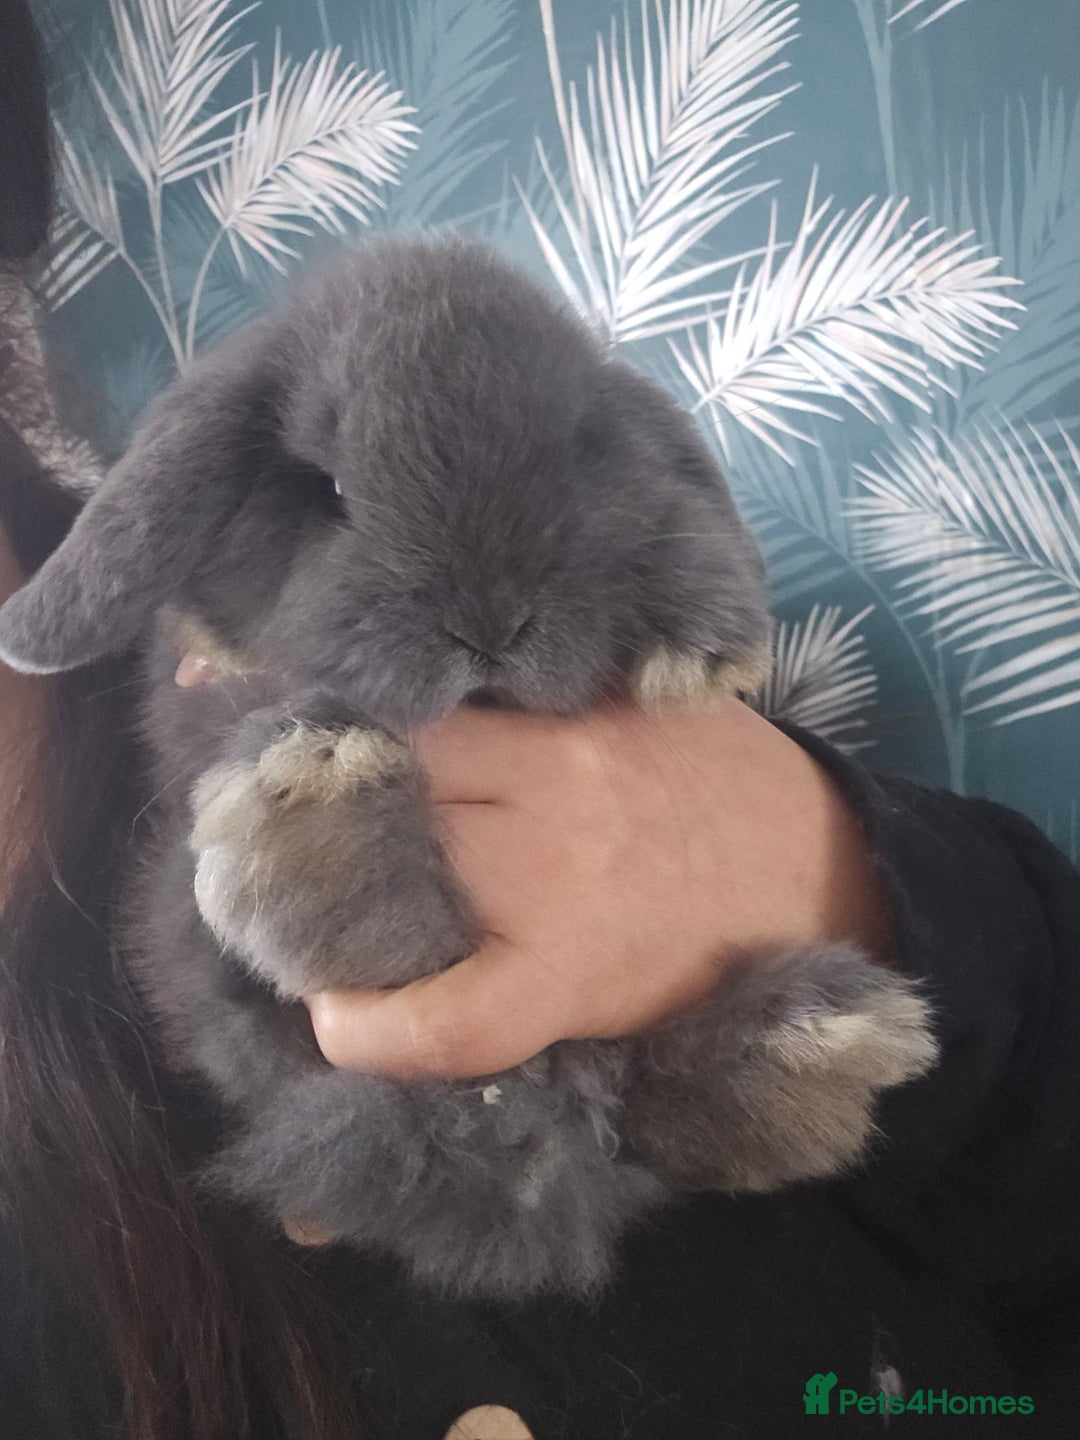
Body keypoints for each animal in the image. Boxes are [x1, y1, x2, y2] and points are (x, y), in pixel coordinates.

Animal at [0, 232, 939, 1299]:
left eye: (578, 451)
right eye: (328, 491)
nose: (490, 626)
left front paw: (701, 648)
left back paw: (806, 1051)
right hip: (181, 915)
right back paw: (318, 813)